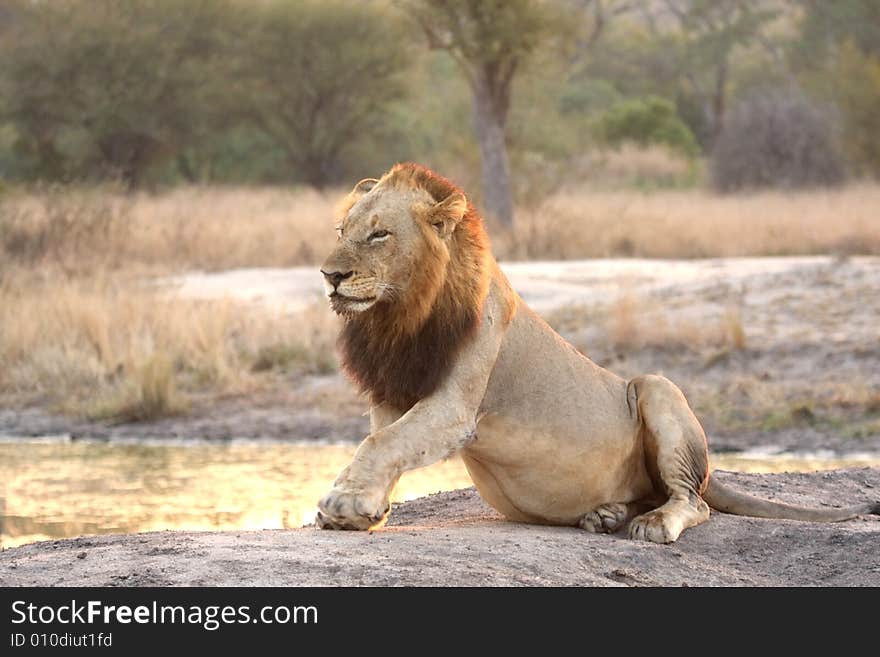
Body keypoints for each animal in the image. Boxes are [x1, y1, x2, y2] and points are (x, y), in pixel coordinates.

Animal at [312, 161, 876, 540]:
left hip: (656, 387)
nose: (330, 275)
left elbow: (382, 443)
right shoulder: (393, 390)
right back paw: (606, 514)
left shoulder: (456, 405)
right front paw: (365, 509)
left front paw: (343, 502)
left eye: (380, 235)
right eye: (341, 231)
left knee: (692, 501)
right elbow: (381, 440)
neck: (398, 319)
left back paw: (652, 523)